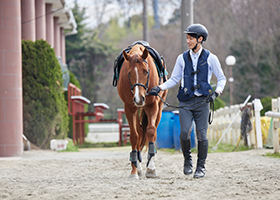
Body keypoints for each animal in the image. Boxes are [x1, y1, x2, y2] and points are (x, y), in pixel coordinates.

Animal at [117, 43, 167, 178]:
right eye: (129, 73)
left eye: (146, 71)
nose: (139, 98)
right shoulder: (129, 108)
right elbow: (134, 136)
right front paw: (134, 171)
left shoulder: (153, 106)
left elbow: (151, 132)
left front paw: (151, 168)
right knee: (139, 132)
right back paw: (138, 166)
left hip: (159, 107)